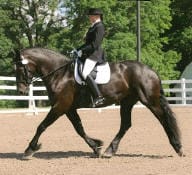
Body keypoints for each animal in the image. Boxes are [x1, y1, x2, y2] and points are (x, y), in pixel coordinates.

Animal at [14, 47, 183, 159]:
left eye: (20, 68)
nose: (21, 91)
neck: (59, 74)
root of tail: (150, 70)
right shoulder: (69, 108)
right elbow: (79, 129)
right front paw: (96, 147)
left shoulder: (60, 106)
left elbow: (42, 126)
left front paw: (30, 149)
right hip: (127, 102)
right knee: (125, 125)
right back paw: (109, 150)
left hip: (149, 101)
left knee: (163, 120)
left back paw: (178, 147)